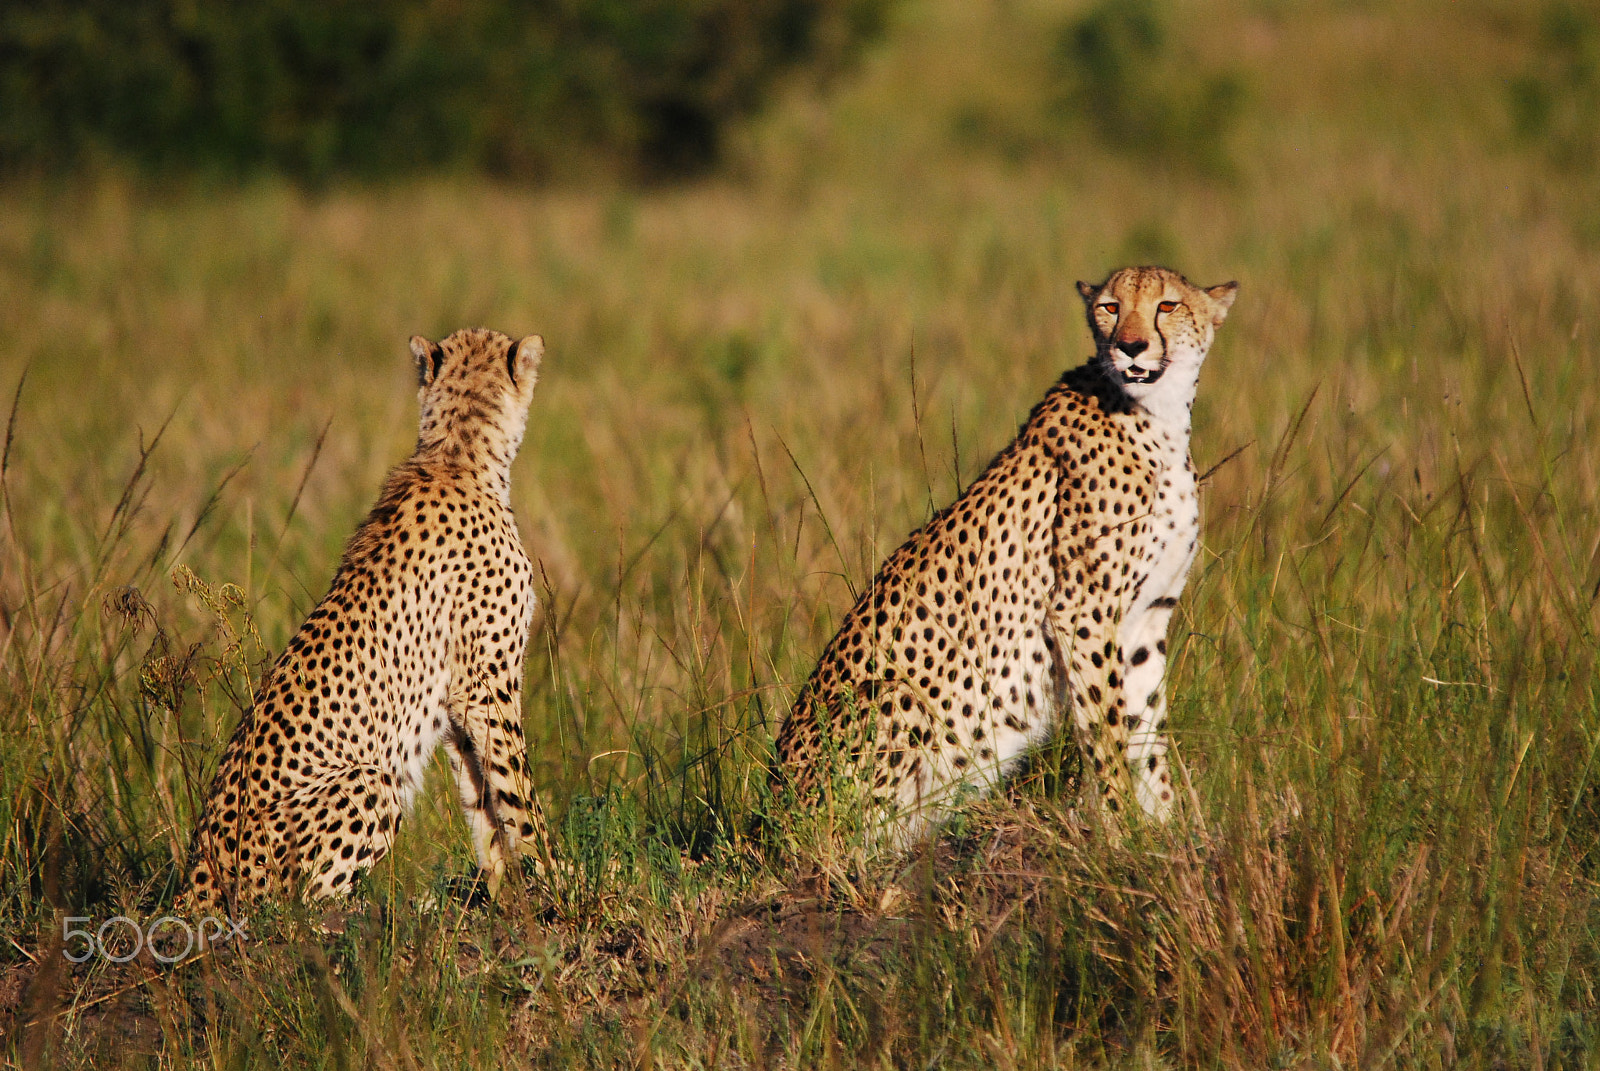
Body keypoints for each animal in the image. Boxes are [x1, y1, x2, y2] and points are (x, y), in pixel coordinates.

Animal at [183, 328, 553, 910]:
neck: (456, 455)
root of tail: (196, 875)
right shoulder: (487, 686)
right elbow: (517, 796)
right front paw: (563, 885)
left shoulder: (456, 701)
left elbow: (482, 804)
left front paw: (504, 894)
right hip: (369, 782)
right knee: (297, 913)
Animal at [774, 266, 1237, 849]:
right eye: (1110, 307)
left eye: (1168, 306)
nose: (1130, 346)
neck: (1161, 416)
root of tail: (770, 820)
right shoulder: (1083, 613)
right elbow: (1106, 734)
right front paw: (1121, 830)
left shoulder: (1147, 617)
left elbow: (1147, 734)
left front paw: (1164, 831)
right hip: (893, 695)